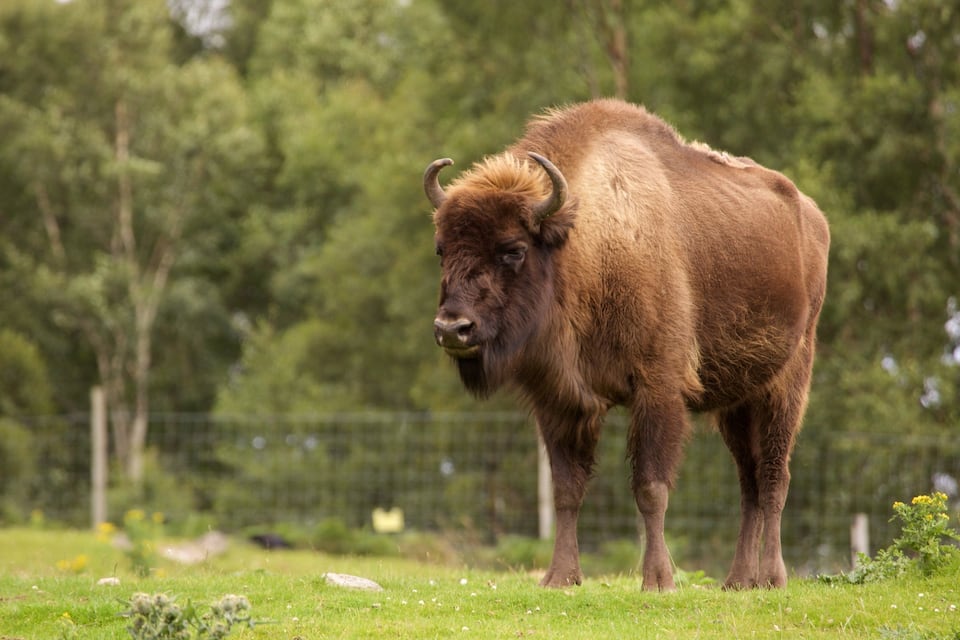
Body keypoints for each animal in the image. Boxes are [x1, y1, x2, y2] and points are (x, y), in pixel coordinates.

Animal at [424, 98, 829, 591]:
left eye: (513, 249)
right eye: (442, 249)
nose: (452, 328)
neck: (586, 241)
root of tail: (811, 216)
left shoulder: (658, 389)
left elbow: (650, 488)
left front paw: (658, 579)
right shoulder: (560, 401)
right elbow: (567, 489)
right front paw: (560, 577)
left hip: (786, 386)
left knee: (773, 477)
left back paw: (771, 578)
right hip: (736, 402)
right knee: (748, 481)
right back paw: (736, 580)